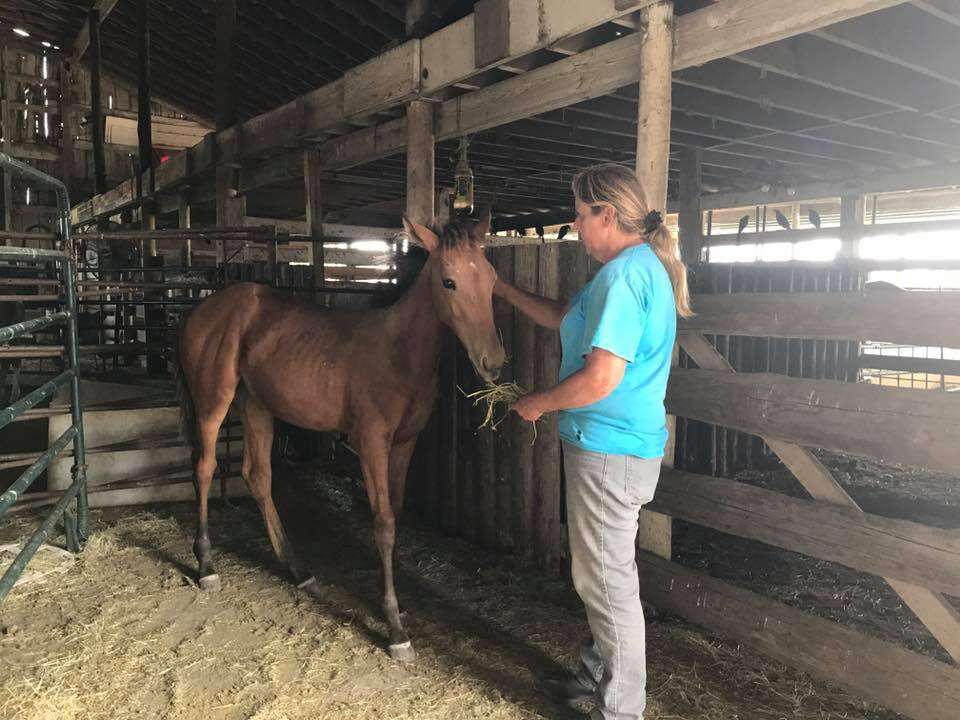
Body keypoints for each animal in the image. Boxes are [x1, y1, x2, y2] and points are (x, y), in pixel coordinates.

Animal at [174, 211, 502, 660]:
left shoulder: (404, 444)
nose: (493, 362)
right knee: (205, 468)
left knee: (258, 477)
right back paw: (206, 564)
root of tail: (201, 310)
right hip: (213, 400)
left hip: (257, 406)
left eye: (490, 278)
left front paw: (397, 605)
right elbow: (383, 522)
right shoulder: (371, 445)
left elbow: (395, 512)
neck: (398, 354)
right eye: (449, 282)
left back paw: (297, 569)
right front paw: (395, 625)